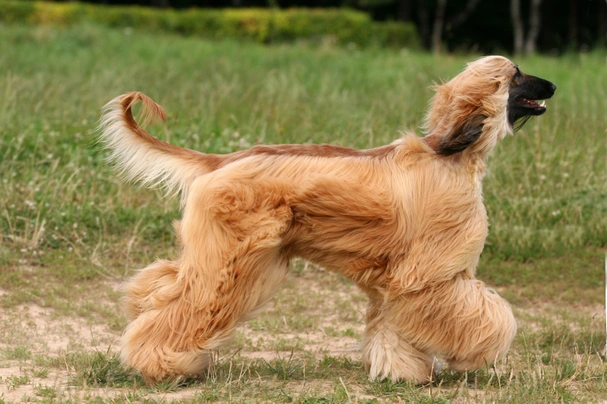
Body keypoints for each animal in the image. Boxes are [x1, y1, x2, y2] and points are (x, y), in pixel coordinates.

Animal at [98, 55, 556, 384]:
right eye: (517, 75)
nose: (553, 84)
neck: (450, 154)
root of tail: (222, 160)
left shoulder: (397, 279)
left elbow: (391, 328)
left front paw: (402, 373)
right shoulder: (428, 275)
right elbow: (490, 317)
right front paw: (472, 355)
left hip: (222, 250)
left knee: (161, 284)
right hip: (231, 257)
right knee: (187, 303)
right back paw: (160, 364)